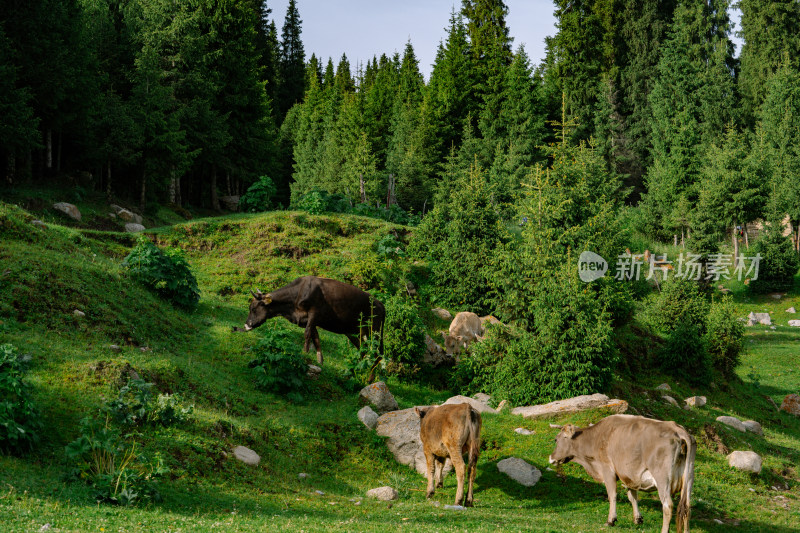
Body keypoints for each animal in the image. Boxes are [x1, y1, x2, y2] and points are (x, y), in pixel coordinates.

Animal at [244, 274, 384, 366]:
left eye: (254, 308)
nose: (246, 325)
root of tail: (380, 304)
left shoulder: (314, 313)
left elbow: (307, 334)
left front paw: (304, 353)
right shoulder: (309, 320)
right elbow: (315, 338)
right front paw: (320, 361)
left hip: (375, 331)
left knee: (378, 354)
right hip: (357, 332)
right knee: (364, 350)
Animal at [552, 414, 692, 532]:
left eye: (556, 439)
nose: (551, 457)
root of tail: (677, 429)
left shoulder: (608, 470)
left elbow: (612, 495)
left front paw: (611, 520)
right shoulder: (630, 475)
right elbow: (632, 497)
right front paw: (638, 519)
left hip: (662, 478)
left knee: (667, 505)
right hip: (688, 478)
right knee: (686, 505)